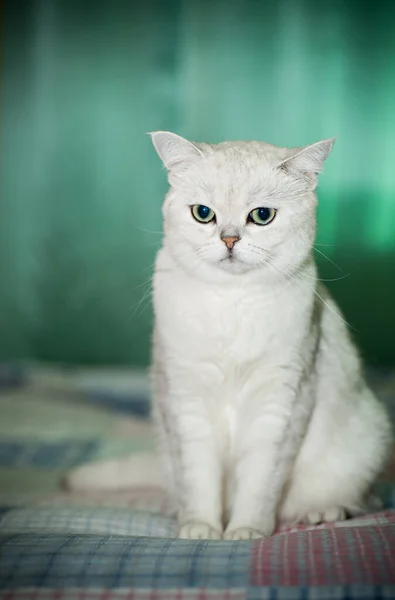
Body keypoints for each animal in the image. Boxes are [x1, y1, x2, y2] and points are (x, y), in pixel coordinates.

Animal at [66, 134, 392, 540]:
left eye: (262, 215)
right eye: (203, 213)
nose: (230, 239)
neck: (231, 303)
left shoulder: (281, 402)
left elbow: (260, 482)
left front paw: (246, 530)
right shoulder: (184, 399)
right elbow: (197, 479)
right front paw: (201, 528)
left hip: (366, 438)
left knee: (364, 498)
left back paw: (322, 512)